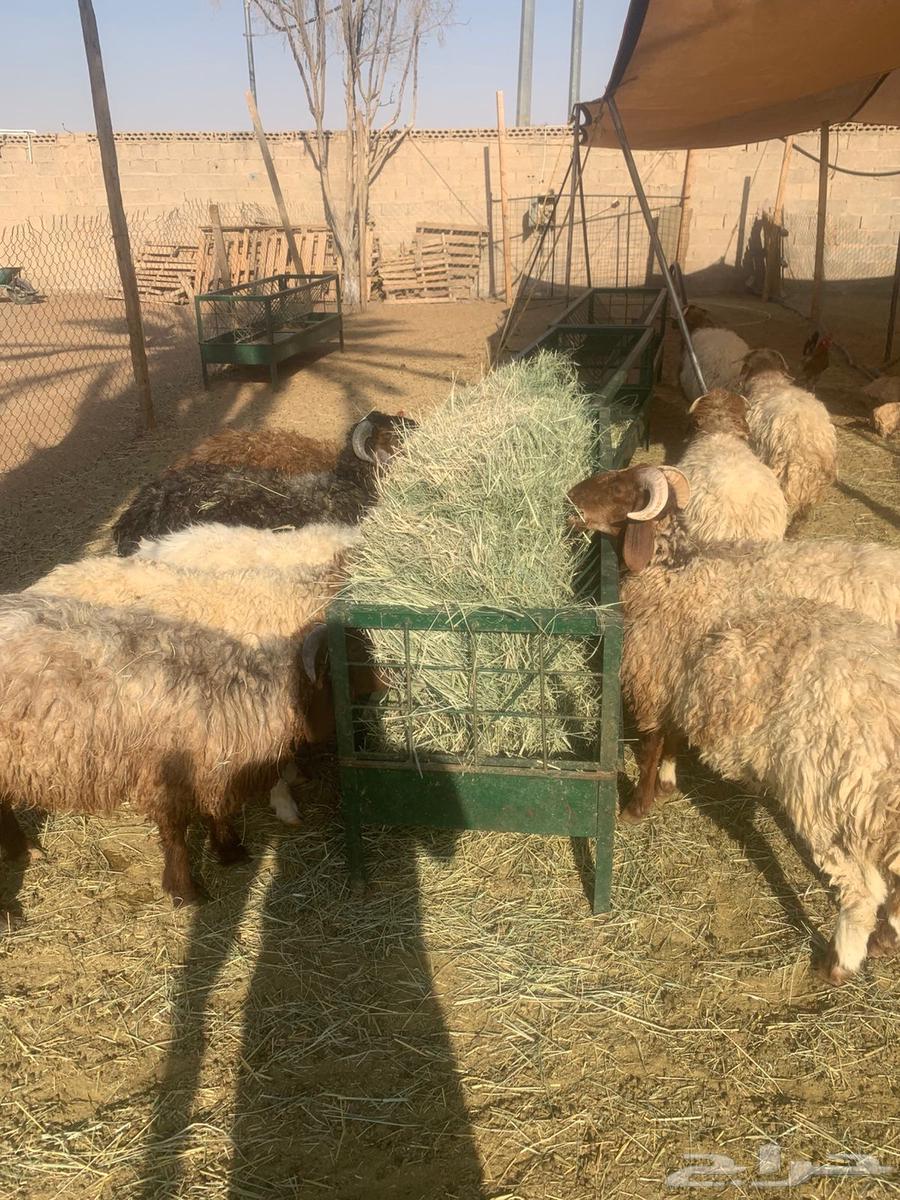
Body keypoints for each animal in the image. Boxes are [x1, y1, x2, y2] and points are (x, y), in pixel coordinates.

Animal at [0, 595, 377, 907]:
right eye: (354, 660)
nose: (385, 684)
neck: (244, 692)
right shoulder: (167, 777)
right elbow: (176, 834)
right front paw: (185, 891)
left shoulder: (214, 766)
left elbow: (217, 811)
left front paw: (229, 851)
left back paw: (23, 851)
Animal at [567, 464, 900, 983]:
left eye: (620, 488)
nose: (569, 501)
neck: (675, 571)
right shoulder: (686, 684)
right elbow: (673, 740)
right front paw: (668, 783)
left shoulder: (657, 678)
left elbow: (652, 744)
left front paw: (637, 806)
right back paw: (884, 942)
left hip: (827, 797)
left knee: (862, 891)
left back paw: (837, 964)